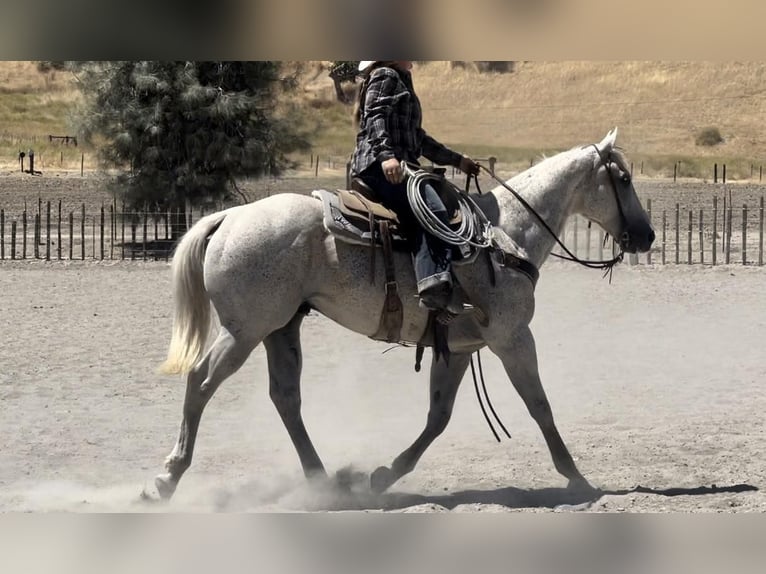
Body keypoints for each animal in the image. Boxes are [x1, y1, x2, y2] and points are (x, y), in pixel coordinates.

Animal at [153, 128, 656, 502]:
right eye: (623, 178)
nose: (647, 236)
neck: (505, 235)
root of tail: (228, 217)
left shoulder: (459, 347)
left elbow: (438, 416)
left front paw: (384, 475)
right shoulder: (512, 337)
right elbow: (540, 406)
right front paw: (576, 477)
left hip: (280, 328)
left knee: (285, 398)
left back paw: (323, 481)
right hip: (244, 330)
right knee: (200, 382)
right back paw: (166, 478)